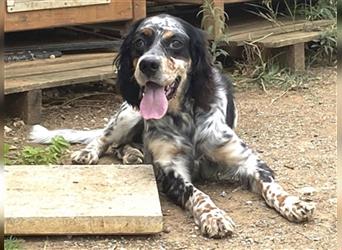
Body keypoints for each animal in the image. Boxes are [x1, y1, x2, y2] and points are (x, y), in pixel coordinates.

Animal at [30, 14, 316, 238]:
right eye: (140, 41)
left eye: (175, 43)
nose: (148, 64)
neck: (186, 118)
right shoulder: (171, 169)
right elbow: (198, 194)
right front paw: (214, 216)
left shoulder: (247, 160)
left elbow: (271, 186)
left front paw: (293, 202)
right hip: (128, 114)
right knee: (105, 138)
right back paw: (91, 153)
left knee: (122, 145)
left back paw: (132, 154)